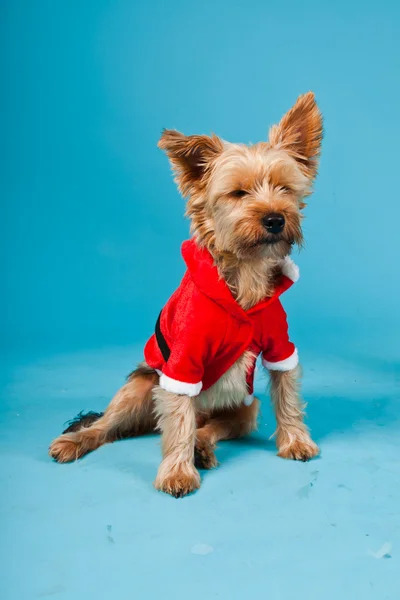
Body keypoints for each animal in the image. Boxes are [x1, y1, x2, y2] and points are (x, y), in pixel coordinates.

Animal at [50, 92, 324, 496]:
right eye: (238, 193)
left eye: (285, 189)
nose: (276, 219)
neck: (245, 274)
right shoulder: (183, 360)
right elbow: (179, 417)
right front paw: (177, 473)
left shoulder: (279, 345)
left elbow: (287, 392)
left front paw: (295, 440)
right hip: (141, 386)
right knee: (111, 426)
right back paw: (76, 441)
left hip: (245, 409)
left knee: (209, 426)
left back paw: (203, 447)